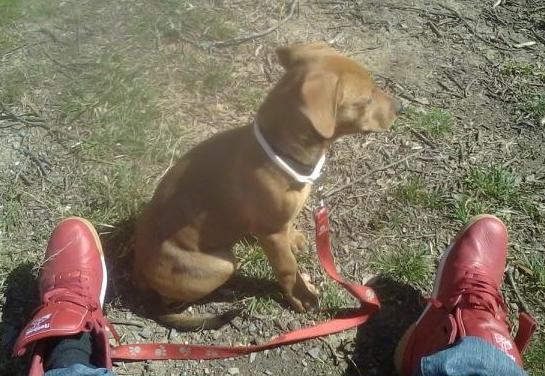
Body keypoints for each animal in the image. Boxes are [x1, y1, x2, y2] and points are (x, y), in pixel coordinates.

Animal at [133, 41, 400, 328]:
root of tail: (141, 276)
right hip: (221, 265)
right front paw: (301, 296)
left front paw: (294, 239)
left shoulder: (280, 222)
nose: (399, 108)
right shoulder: (271, 234)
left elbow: (289, 229)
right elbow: (287, 267)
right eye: (365, 100)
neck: (282, 152)